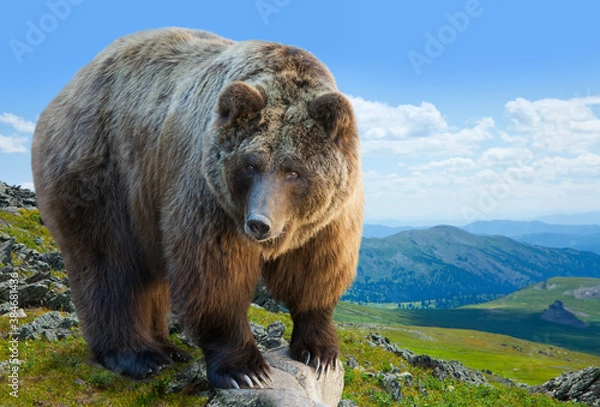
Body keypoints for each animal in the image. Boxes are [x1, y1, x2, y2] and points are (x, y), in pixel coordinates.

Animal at [30, 27, 364, 390]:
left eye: (294, 171)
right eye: (250, 164)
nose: (259, 223)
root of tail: (66, 90)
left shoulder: (327, 219)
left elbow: (316, 272)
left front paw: (319, 352)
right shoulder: (211, 197)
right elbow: (214, 276)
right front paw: (245, 369)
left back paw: (168, 347)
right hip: (103, 170)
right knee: (109, 263)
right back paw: (140, 356)